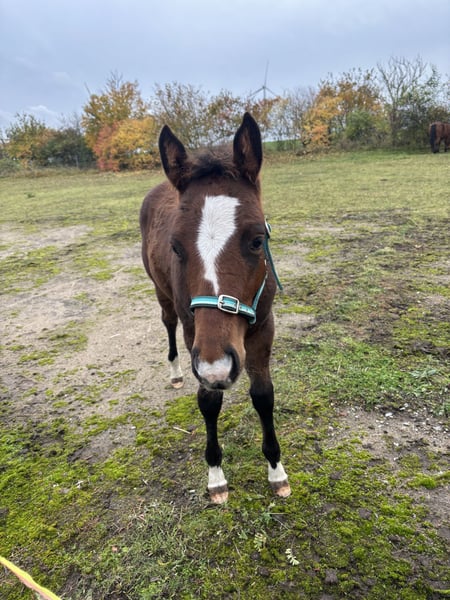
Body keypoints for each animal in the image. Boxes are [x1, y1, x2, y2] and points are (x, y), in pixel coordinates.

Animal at [140, 113, 290, 504]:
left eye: (257, 240)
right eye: (176, 246)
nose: (218, 368)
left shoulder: (263, 327)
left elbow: (263, 396)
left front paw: (276, 470)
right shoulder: (197, 335)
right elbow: (208, 401)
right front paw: (216, 476)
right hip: (162, 296)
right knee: (167, 323)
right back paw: (175, 372)